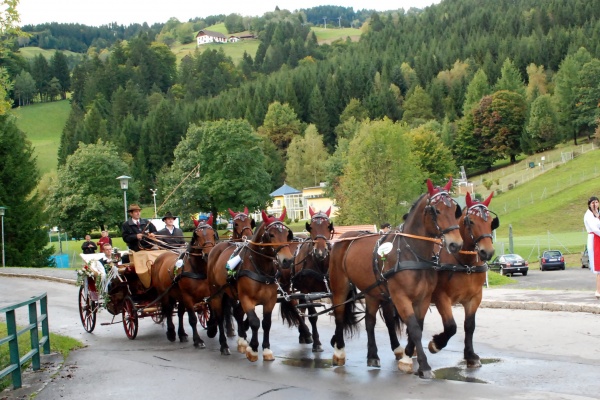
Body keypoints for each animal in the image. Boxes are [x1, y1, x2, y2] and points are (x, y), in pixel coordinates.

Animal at [151, 216, 217, 346]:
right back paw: (171, 333)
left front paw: (211, 330)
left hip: (178, 294)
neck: (198, 270)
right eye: (197, 235)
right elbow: (192, 319)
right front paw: (197, 340)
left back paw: (181, 334)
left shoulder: (209, 295)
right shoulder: (187, 296)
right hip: (165, 294)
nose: (208, 255)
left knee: (180, 312)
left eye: (213, 233)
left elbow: (212, 313)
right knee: (168, 310)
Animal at [207, 209, 296, 360]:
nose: (287, 260)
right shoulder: (246, 299)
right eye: (271, 234)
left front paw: (266, 349)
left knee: (236, 312)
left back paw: (242, 341)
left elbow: (266, 323)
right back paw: (224, 345)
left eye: (286, 234)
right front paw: (253, 349)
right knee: (219, 317)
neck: (260, 266)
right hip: (217, 293)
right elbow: (255, 322)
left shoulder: (270, 300)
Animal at [284, 208, 336, 352]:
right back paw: (306, 333)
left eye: (328, 226)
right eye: (311, 227)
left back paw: (303, 335)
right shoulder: (308, 291)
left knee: (300, 307)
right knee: (295, 307)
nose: (320, 252)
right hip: (288, 287)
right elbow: (313, 316)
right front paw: (317, 343)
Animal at [328, 178, 464, 378]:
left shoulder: (423, 298)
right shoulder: (401, 297)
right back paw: (339, 352)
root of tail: (343, 238)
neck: (411, 253)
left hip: (373, 291)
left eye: (454, 209)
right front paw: (422, 365)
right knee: (339, 315)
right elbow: (414, 328)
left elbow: (418, 326)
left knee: (370, 321)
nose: (456, 244)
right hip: (340, 287)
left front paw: (408, 355)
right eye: (436, 210)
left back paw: (373, 355)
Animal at [424, 192, 500, 368]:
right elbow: (451, 326)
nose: (488, 252)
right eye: (470, 221)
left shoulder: (474, 298)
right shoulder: (441, 297)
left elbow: (469, 326)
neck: (465, 263)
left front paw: (470, 355)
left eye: (491, 223)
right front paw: (436, 344)